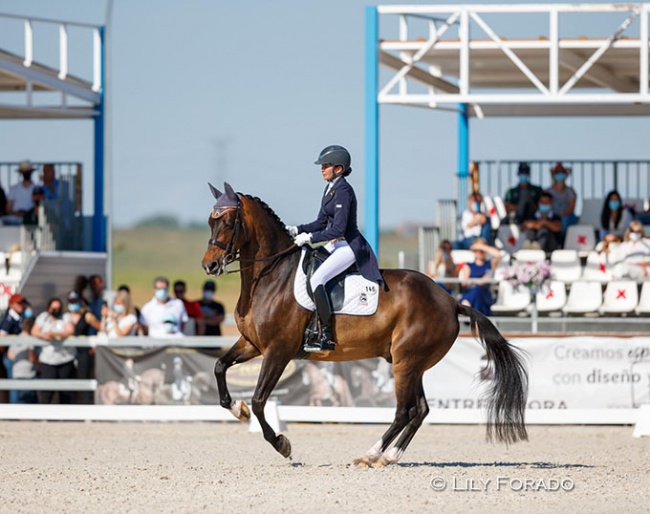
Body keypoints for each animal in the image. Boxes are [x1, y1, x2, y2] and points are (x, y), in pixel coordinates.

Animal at [201, 182, 528, 466]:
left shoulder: (278, 351)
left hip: (405, 362)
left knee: (404, 411)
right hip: (413, 363)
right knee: (420, 410)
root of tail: (449, 300)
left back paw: (371, 455)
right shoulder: (252, 344)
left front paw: (282, 444)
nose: (209, 265)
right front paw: (237, 409)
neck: (272, 275)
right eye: (209, 222)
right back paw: (389, 456)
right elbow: (219, 367)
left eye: (228, 222)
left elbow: (259, 400)